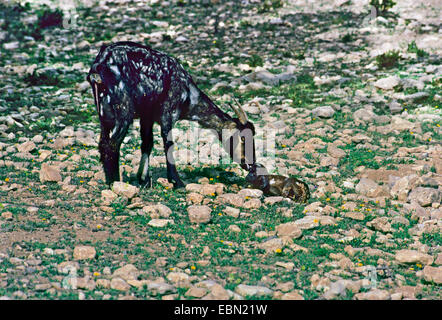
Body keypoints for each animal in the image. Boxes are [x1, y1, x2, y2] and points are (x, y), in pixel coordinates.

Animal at [87, 41, 256, 189]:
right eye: (242, 137)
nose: (251, 164)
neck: (188, 95)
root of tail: (98, 68)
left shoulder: (147, 116)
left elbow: (147, 143)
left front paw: (144, 180)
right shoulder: (168, 113)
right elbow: (168, 143)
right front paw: (176, 181)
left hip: (105, 115)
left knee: (103, 143)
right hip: (123, 111)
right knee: (112, 145)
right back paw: (114, 181)